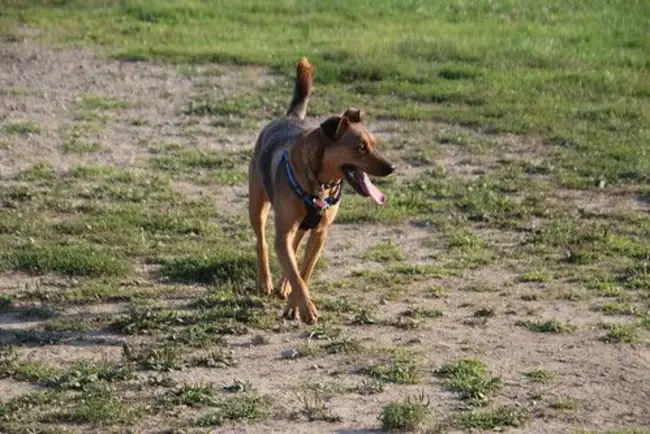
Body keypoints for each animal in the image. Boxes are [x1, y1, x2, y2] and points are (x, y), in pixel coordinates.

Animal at [246, 57, 392, 324]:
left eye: (374, 144)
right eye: (360, 148)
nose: (391, 167)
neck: (320, 184)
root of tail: (290, 116)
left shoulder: (320, 233)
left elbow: (303, 272)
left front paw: (294, 306)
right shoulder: (284, 231)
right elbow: (295, 270)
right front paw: (305, 308)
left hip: (300, 225)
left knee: (293, 250)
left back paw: (283, 285)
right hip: (257, 205)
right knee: (262, 242)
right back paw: (266, 282)